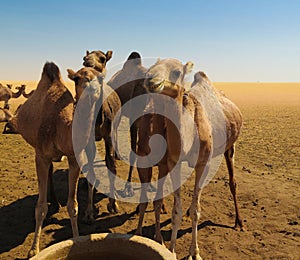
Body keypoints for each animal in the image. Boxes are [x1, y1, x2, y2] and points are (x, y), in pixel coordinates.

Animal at [7, 62, 108, 256]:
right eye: (77, 78)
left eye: (100, 77)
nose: (92, 89)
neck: (60, 126)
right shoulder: (40, 156)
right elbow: (40, 207)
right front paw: (34, 249)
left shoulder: (74, 157)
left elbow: (73, 206)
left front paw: (76, 240)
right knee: (51, 172)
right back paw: (54, 202)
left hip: (90, 143)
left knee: (91, 174)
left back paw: (89, 214)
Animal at [136, 59, 244, 260]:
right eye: (151, 67)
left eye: (177, 72)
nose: (151, 80)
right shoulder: (173, 162)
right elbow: (176, 210)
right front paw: (171, 250)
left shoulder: (203, 162)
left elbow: (196, 210)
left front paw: (195, 252)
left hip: (230, 146)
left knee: (232, 182)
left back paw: (239, 222)